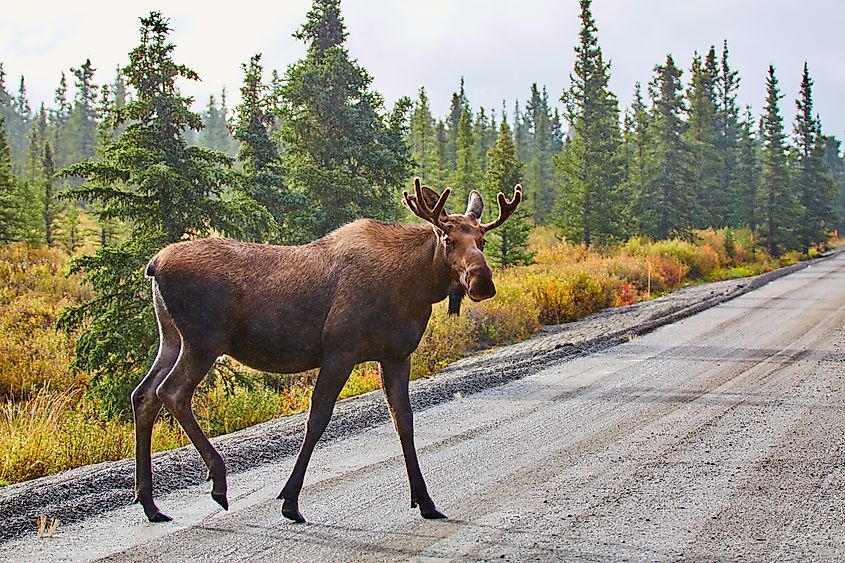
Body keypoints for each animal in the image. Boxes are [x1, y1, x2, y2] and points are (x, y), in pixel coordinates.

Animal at [132, 177, 520, 524]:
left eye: (483, 239)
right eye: (448, 239)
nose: (482, 281)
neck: (415, 287)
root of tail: (154, 265)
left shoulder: (396, 354)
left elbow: (404, 421)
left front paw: (425, 501)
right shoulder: (339, 350)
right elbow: (317, 418)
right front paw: (290, 501)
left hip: (172, 338)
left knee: (144, 394)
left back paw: (150, 504)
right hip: (204, 340)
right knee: (171, 392)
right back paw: (218, 482)